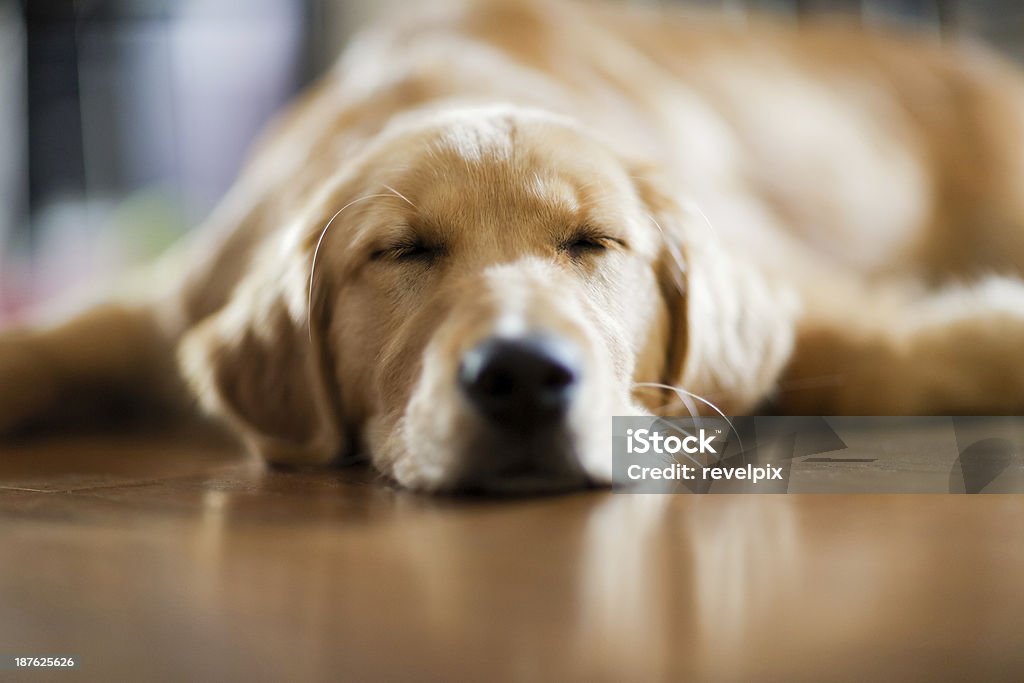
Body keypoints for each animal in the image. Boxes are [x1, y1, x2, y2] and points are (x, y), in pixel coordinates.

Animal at [2, 0, 1024, 491]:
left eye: (593, 241)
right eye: (401, 251)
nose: (525, 378)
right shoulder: (169, 301)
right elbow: (41, 346)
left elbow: (905, 356)